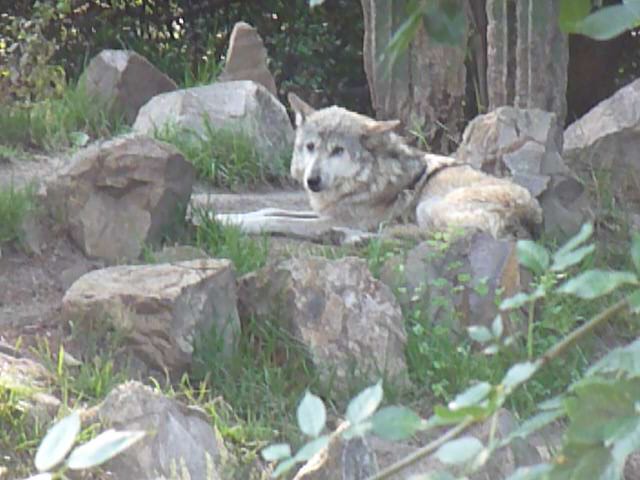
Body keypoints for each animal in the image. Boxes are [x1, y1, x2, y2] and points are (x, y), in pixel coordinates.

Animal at [213, 94, 542, 242]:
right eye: (310, 147)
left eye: (338, 151)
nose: (312, 181)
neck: (365, 180)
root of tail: (530, 218)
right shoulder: (326, 212)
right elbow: (268, 210)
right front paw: (221, 216)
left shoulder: (326, 219)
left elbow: (277, 220)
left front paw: (230, 224)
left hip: (428, 208)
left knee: (437, 238)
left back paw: (351, 237)